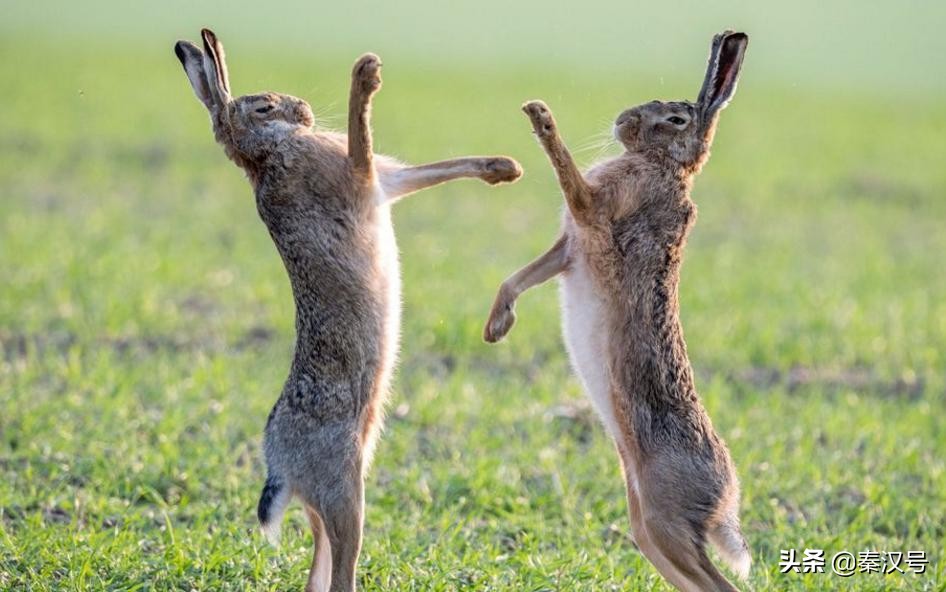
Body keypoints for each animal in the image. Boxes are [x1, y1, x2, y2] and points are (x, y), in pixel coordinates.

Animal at [174, 29, 521, 592]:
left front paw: (505, 168)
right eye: (265, 106)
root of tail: (280, 465)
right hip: (345, 490)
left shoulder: (383, 182)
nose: (305, 110)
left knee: (320, 565)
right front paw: (365, 74)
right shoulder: (358, 175)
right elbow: (362, 132)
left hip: (326, 505)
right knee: (341, 567)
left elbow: (427, 170)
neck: (266, 155)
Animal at [483, 31, 750, 592]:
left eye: (676, 118)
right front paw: (497, 327)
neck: (668, 169)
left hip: (665, 518)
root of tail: (728, 495)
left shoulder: (592, 210)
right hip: (648, 527)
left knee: (720, 583)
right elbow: (521, 276)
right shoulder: (569, 249)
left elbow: (568, 172)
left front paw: (541, 116)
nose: (624, 121)